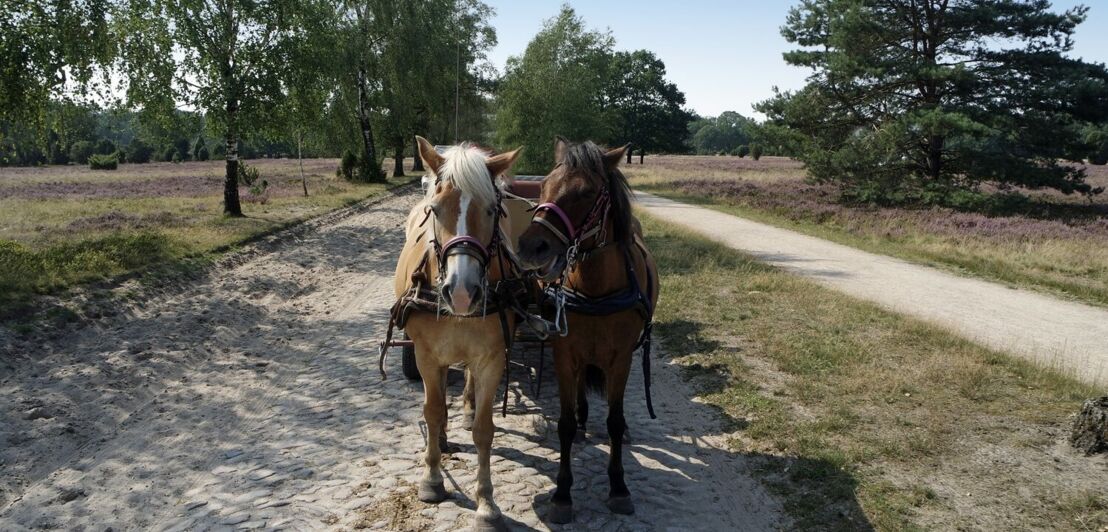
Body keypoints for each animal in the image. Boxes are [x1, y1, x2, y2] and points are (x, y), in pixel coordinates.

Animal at [392, 136, 520, 527]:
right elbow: (432, 412)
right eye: (435, 210)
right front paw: (432, 479)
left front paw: (486, 502)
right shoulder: (425, 354)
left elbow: (484, 429)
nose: (462, 292)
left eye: (493, 210)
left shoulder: (492, 357)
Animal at [516, 137, 660, 523]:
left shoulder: (621, 358)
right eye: (544, 186)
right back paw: (582, 422)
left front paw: (619, 487)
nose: (529, 246)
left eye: (586, 192)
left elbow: (614, 419)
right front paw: (562, 494)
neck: (596, 289)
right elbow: (564, 424)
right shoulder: (565, 352)